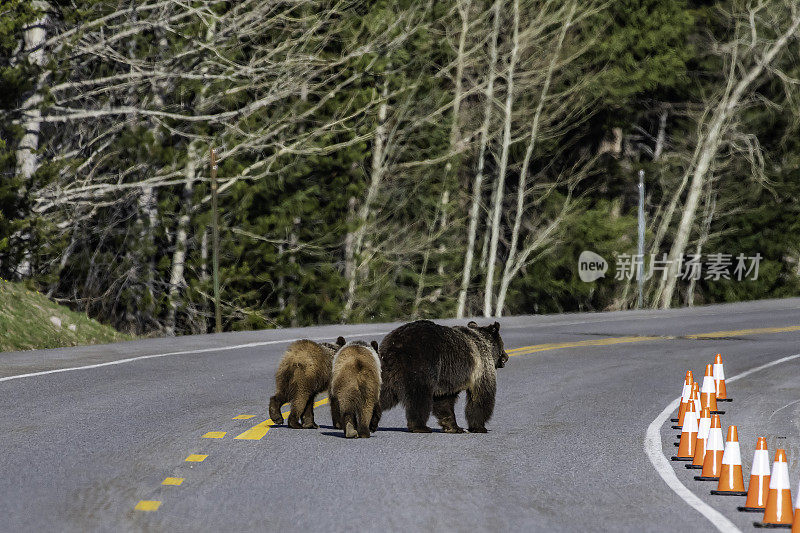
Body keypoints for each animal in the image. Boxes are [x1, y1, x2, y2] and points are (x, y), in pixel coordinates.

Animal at [374, 320, 510, 432]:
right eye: (503, 345)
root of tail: (395, 344)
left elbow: (444, 400)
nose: (506, 357)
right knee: (419, 397)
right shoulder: (481, 367)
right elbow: (481, 396)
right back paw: (420, 426)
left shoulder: (447, 378)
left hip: (387, 370)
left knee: (383, 393)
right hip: (420, 365)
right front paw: (479, 427)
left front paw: (453, 427)